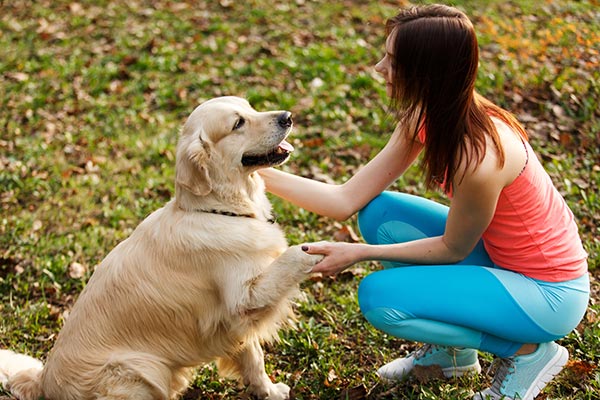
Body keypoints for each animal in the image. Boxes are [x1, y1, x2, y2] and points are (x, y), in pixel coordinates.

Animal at [1, 97, 324, 400]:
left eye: (250, 107)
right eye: (238, 124)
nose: (288, 117)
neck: (216, 210)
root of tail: (43, 381)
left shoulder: (235, 324)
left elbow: (253, 357)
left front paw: (268, 391)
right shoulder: (241, 299)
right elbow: (290, 257)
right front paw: (316, 250)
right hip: (137, 369)